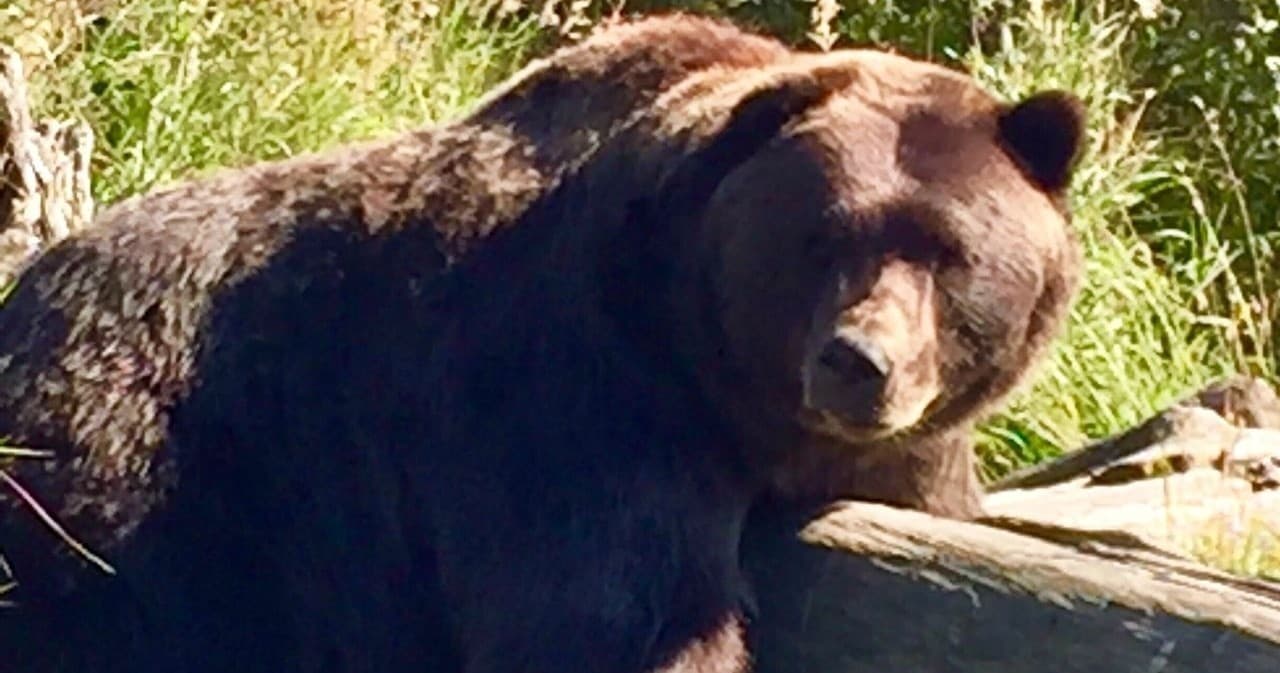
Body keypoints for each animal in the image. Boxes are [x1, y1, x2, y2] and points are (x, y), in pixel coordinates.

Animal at [0, 13, 1086, 673]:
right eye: (820, 235)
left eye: (947, 252)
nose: (857, 362)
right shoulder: (573, 395)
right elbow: (613, 613)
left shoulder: (913, 457)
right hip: (153, 481)